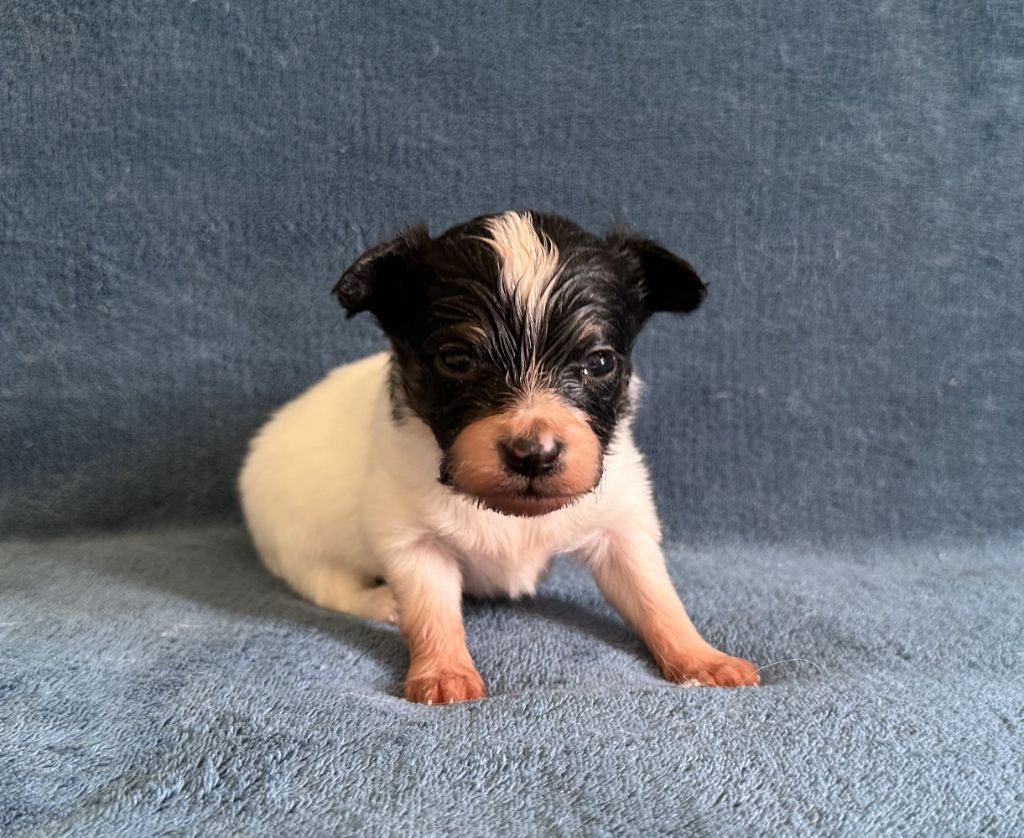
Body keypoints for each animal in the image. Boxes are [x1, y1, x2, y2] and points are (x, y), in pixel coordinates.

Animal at [238, 210, 759, 704]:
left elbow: (656, 596)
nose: (533, 455)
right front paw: (443, 673)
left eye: (600, 363)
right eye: (456, 361)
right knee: (331, 587)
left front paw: (701, 658)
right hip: (297, 545)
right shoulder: (413, 541)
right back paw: (383, 604)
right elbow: (431, 611)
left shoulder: (622, 528)